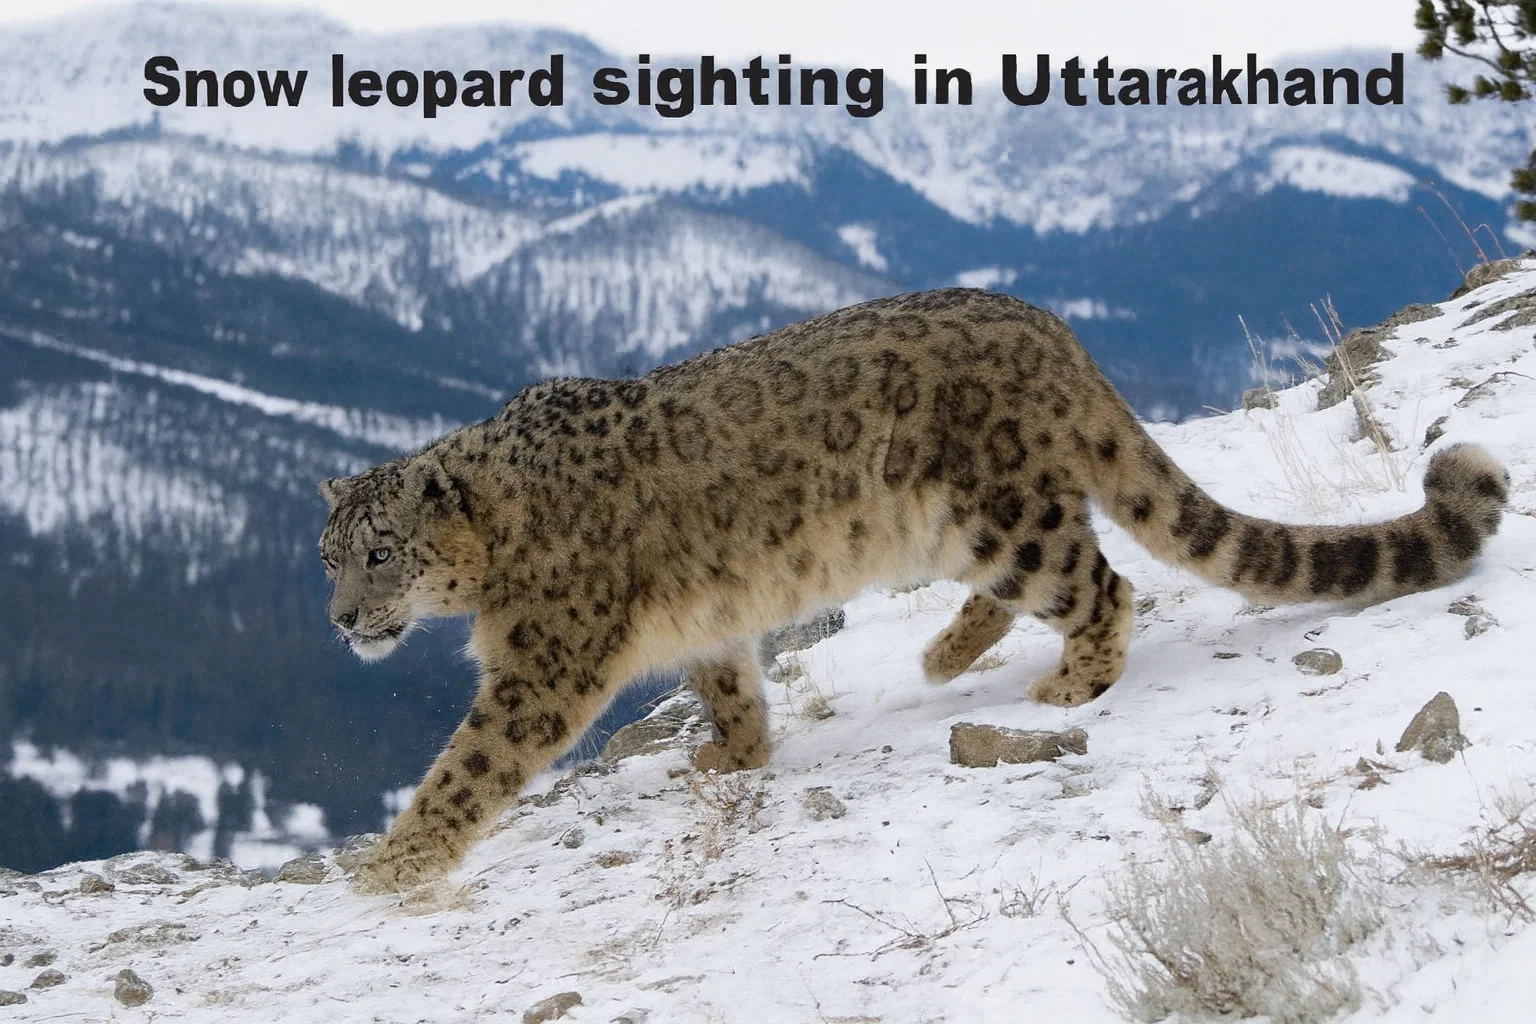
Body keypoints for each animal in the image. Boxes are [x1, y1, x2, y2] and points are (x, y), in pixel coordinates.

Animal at [317, 288, 1507, 893]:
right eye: (326, 556)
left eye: (379, 552)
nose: (337, 620)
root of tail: (1046, 324)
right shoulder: (705, 624)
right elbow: (728, 679)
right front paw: (732, 753)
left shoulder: (541, 662)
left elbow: (470, 762)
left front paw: (395, 861)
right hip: (960, 525)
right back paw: (946, 654)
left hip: (997, 511)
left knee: (1100, 579)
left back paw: (1069, 681)